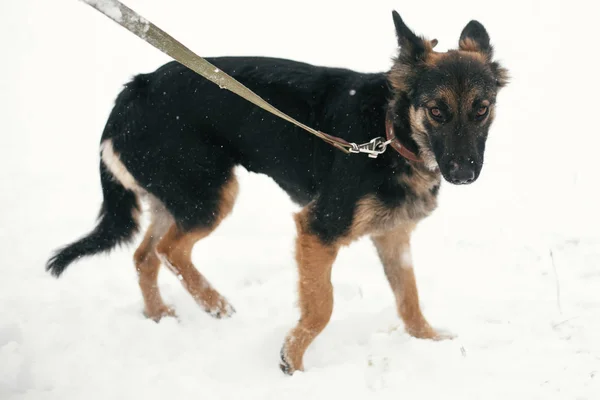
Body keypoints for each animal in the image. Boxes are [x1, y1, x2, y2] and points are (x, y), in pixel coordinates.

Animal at [45, 13, 506, 376]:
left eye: (481, 109)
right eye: (436, 111)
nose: (464, 174)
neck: (389, 133)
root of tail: (130, 93)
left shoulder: (393, 235)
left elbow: (408, 296)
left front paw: (427, 340)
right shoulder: (317, 230)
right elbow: (322, 306)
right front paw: (293, 363)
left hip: (177, 195)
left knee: (145, 255)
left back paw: (161, 315)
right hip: (209, 194)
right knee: (169, 250)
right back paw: (214, 304)